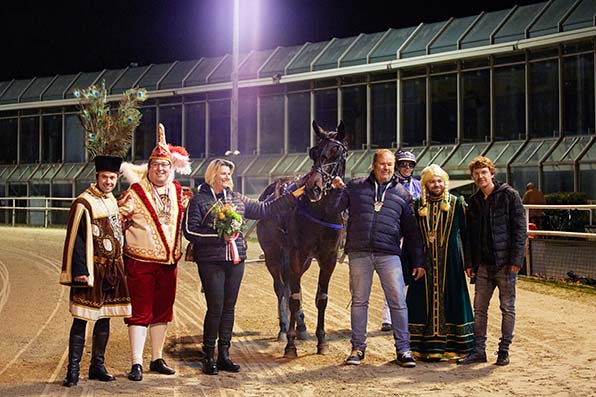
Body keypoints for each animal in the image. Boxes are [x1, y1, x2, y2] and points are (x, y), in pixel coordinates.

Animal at [258, 119, 350, 358]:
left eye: (337, 152)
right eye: (314, 152)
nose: (313, 188)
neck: (321, 213)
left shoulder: (328, 257)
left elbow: (321, 298)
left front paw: (322, 341)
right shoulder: (296, 254)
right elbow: (294, 297)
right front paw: (290, 345)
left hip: (304, 260)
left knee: (291, 285)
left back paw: (300, 327)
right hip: (273, 255)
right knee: (281, 288)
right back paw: (284, 329)